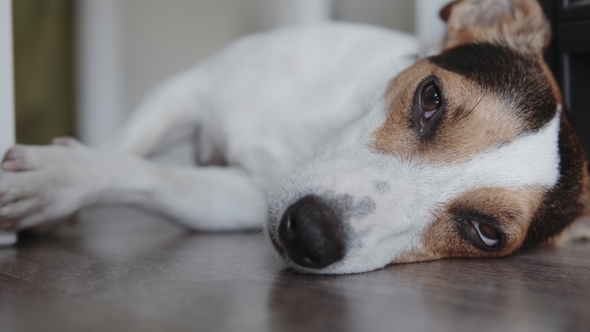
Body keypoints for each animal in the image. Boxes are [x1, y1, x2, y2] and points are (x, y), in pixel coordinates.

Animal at [0, 0, 588, 274]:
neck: (310, 135)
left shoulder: (233, 197)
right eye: (430, 98)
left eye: (485, 232)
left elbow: (142, 173)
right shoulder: (186, 89)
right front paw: (55, 192)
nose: (309, 233)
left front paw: (57, 183)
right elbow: (122, 145)